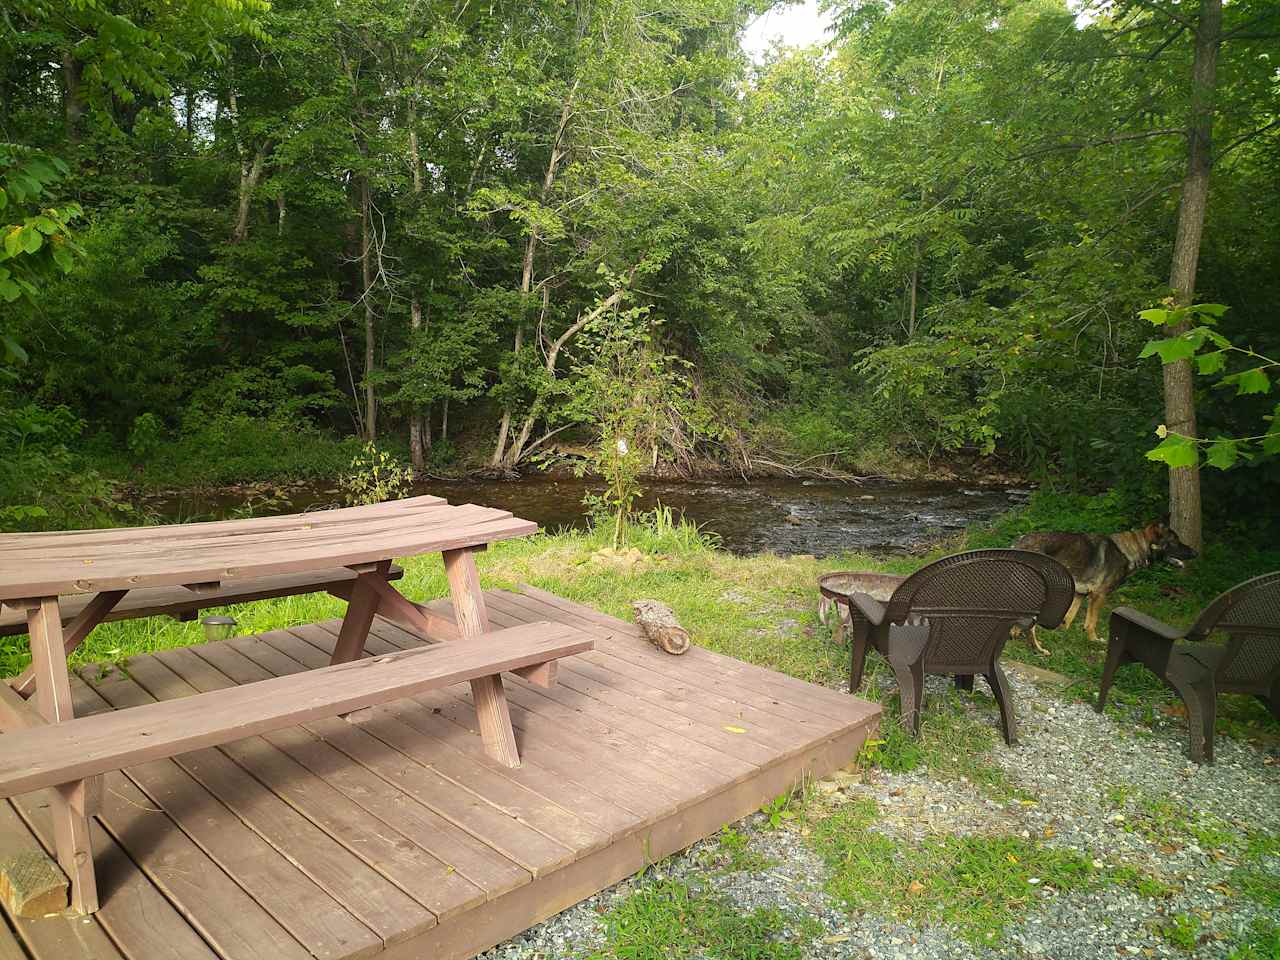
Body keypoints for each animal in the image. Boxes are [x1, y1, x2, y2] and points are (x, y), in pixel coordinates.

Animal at [1008, 522, 1198, 660]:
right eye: (1175, 541)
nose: (1196, 553)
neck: (1131, 549)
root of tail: (1018, 542)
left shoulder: (1080, 594)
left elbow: (1068, 619)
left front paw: (1062, 634)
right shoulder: (1099, 595)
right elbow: (1091, 623)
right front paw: (1094, 640)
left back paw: (1016, 634)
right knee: (1030, 626)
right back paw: (1037, 648)